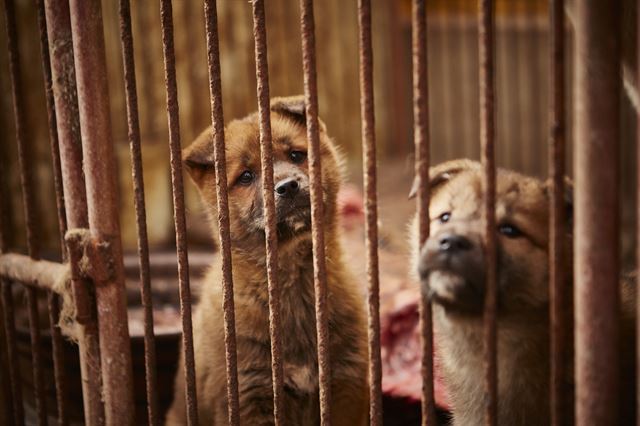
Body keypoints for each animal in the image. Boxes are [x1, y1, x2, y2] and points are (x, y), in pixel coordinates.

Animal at [165, 96, 368, 426]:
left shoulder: (345, 386)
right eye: (246, 176)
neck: (292, 281)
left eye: (296, 155)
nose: (288, 186)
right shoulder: (250, 393)